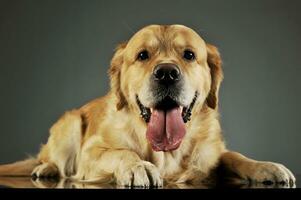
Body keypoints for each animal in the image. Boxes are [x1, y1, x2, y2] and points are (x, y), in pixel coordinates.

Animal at [0, 24, 296, 188]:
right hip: (70, 122)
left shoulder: (211, 154)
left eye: (189, 55)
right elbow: (121, 152)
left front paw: (266, 167)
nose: (166, 73)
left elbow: (234, 156)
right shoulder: (91, 153)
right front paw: (138, 167)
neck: (165, 152)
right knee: (51, 159)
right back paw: (46, 169)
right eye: (142, 55)